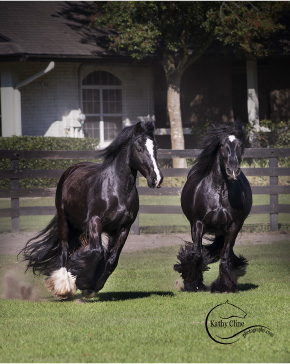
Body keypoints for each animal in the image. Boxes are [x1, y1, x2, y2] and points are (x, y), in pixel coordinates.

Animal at [21, 122, 163, 298]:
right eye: (139, 149)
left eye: (155, 147)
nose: (157, 179)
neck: (116, 191)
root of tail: (73, 168)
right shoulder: (95, 221)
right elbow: (96, 251)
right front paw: (84, 284)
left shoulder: (124, 228)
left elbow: (111, 259)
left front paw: (93, 286)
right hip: (64, 220)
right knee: (64, 250)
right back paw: (63, 286)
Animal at [174, 121, 251, 292]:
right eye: (222, 145)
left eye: (240, 145)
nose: (233, 171)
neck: (220, 191)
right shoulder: (198, 223)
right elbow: (197, 254)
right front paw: (192, 282)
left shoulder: (234, 225)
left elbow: (225, 257)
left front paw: (224, 285)